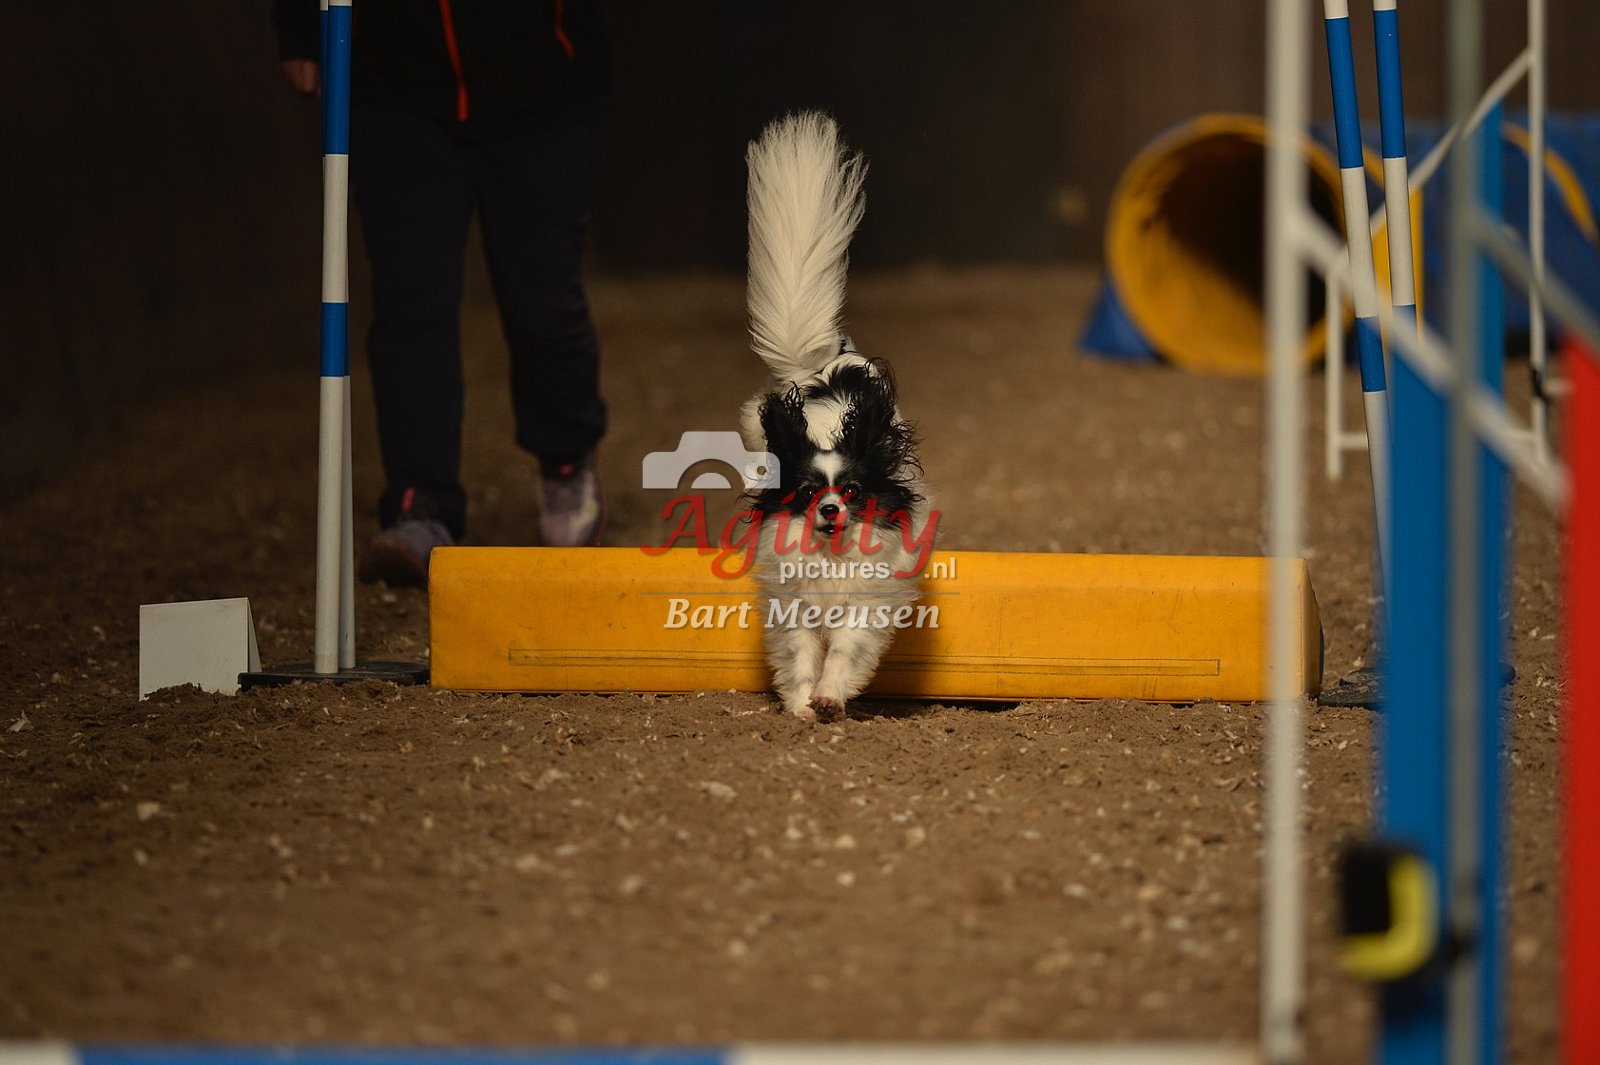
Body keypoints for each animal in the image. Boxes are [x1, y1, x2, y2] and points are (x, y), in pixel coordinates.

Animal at [738, 112, 934, 722]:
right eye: (806, 493)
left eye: (850, 492)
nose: (828, 510)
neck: (829, 555)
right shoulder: (793, 608)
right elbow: (801, 655)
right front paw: (802, 704)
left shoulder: (864, 607)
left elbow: (843, 653)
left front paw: (828, 697)